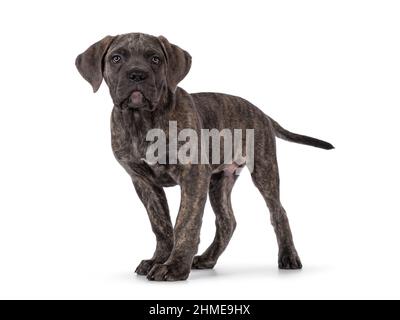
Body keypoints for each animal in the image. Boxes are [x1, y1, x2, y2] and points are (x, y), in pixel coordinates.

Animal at [76, 32, 332, 282]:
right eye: (116, 58)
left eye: (155, 59)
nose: (137, 74)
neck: (142, 120)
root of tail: (261, 112)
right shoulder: (144, 182)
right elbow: (161, 224)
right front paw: (159, 259)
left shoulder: (193, 174)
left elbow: (185, 221)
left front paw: (175, 266)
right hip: (220, 181)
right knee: (227, 221)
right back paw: (208, 259)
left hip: (264, 169)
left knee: (278, 212)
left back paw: (288, 257)